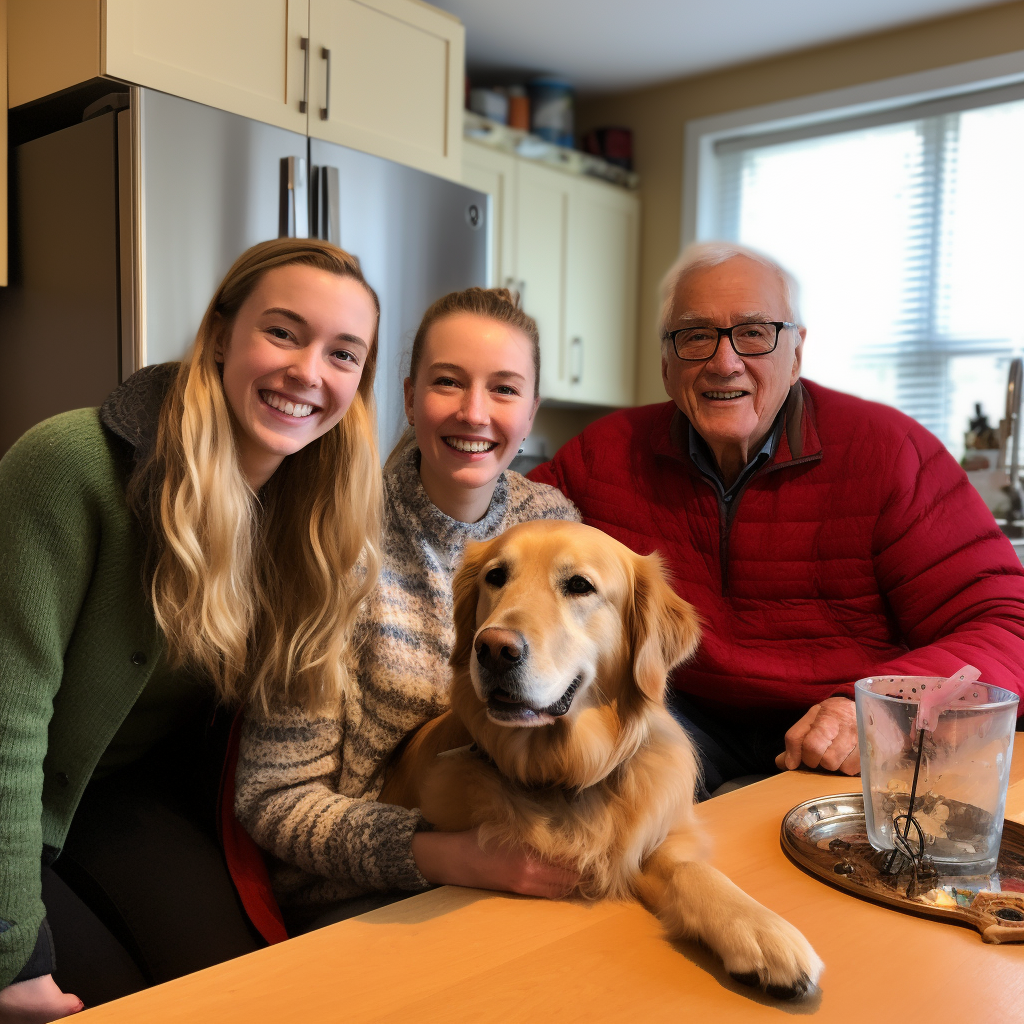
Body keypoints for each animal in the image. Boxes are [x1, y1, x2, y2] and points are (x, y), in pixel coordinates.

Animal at [382, 524, 823, 995]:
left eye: (580, 585)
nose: (493, 648)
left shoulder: (644, 838)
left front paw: (759, 927)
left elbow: (688, 868)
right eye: (495, 577)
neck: (563, 771)